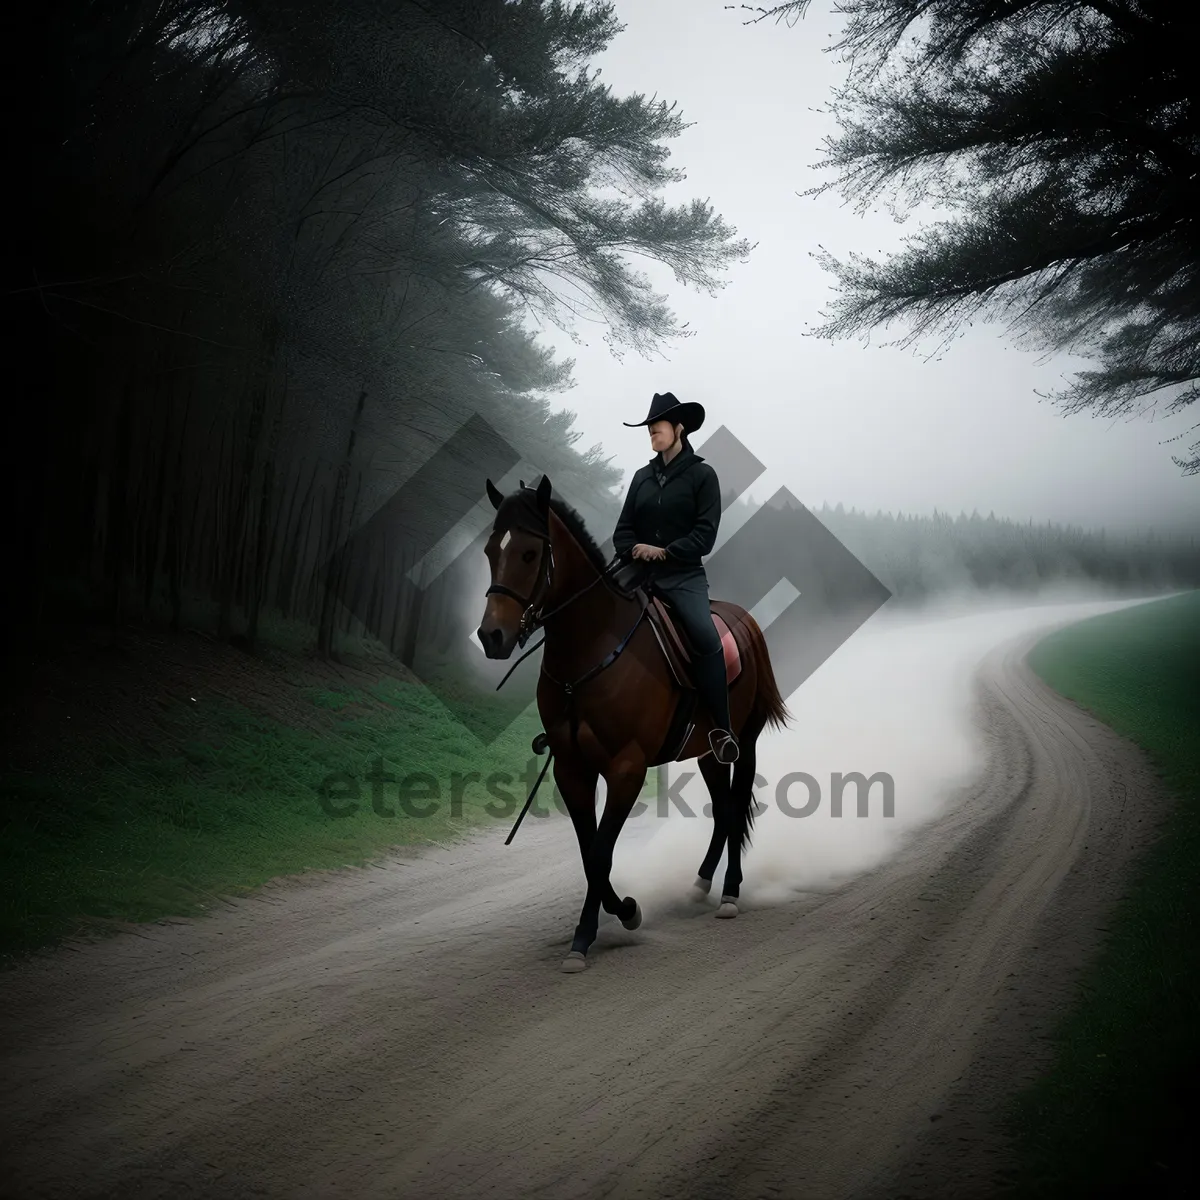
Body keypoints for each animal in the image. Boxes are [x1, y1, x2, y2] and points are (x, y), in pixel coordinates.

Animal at [472, 472, 792, 969]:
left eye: (528, 553)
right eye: (491, 550)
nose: (492, 636)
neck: (590, 649)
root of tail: (747, 622)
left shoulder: (626, 769)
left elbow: (602, 852)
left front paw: (589, 934)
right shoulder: (571, 769)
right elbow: (590, 853)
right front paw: (621, 911)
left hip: (744, 742)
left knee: (737, 807)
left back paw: (730, 893)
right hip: (706, 753)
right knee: (723, 810)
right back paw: (701, 883)